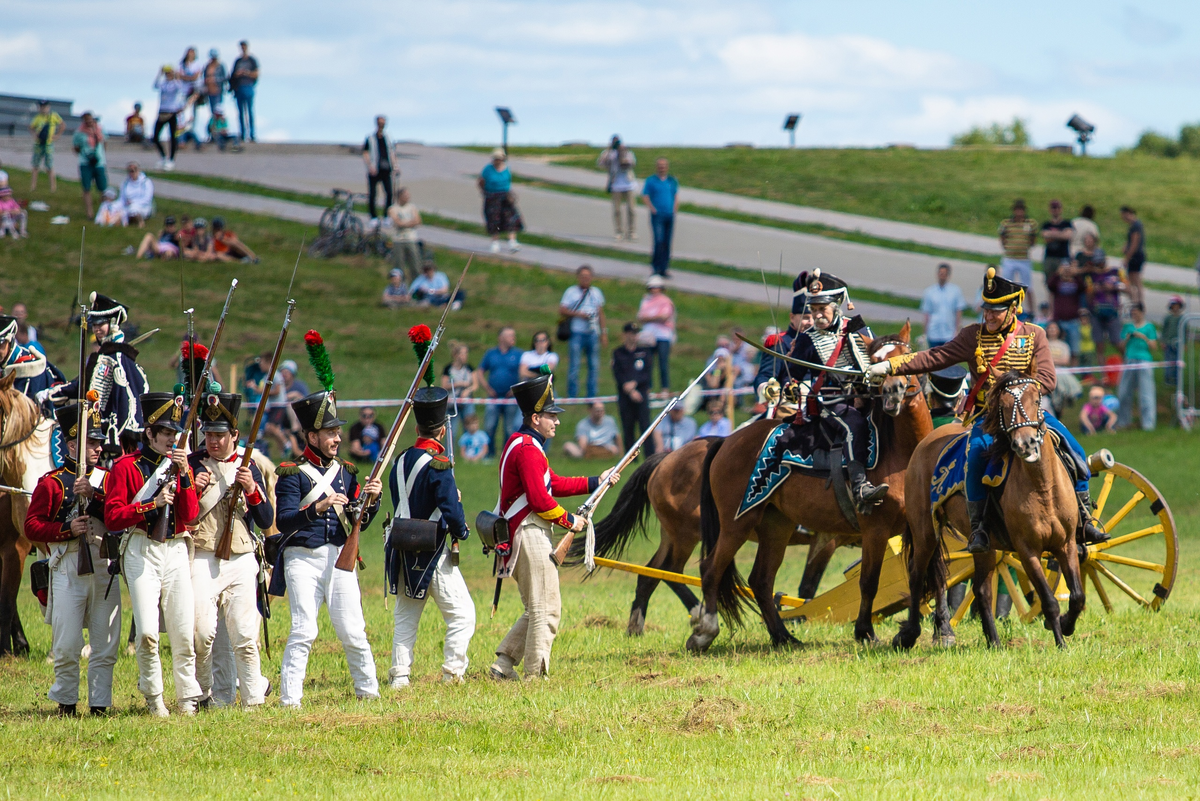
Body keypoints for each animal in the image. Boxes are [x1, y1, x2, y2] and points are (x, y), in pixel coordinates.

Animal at [568, 434, 835, 633]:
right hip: (688, 535)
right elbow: (808, 586)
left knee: (652, 573)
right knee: (672, 569)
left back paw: (637, 625)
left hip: (673, 535)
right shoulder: (826, 540)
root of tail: (666, 459)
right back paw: (698, 612)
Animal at [686, 326, 926, 652]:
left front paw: (909, 633)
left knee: (761, 580)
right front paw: (865, 632)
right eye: (876, 363)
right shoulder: (874, 530)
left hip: (776, 527)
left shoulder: (913, 529)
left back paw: (783, 637)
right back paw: (705, 632)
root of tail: (726, 442)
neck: (899, 451)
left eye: (906, 354)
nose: (893, 392)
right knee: (712, 570)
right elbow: (868, 581)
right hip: (737, 524)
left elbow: (917, 577)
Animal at [892, 371, 1089, 647]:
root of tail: (925, 442)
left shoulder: (1066, 544)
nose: (1025, 444)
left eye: (1036, 400)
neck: (1043, 488)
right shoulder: (1027, 551)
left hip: (984, 547)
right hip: (925, 534)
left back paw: (992, 641)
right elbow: (1049, 600)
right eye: (1002, 407)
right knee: (918, 576)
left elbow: (1077, 596)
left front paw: (1065, 626)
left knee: (980, 589)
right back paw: (910, 634)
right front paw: (1060, 641)